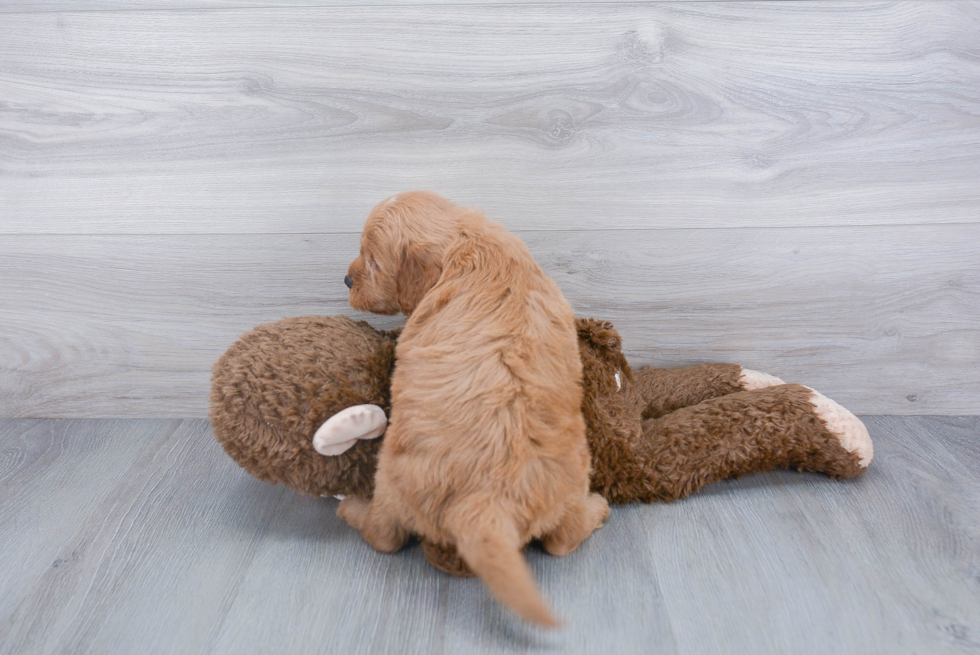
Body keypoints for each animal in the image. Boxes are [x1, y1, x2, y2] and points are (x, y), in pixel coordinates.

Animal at [340, 192, 608, 628]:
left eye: (373, 261)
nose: (347, 280)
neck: (465, 240)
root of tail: (487, 504)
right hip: (571, 480)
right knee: (562, 540)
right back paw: (597, 510)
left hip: (391, 479)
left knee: (383, 536)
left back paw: (351, 508)